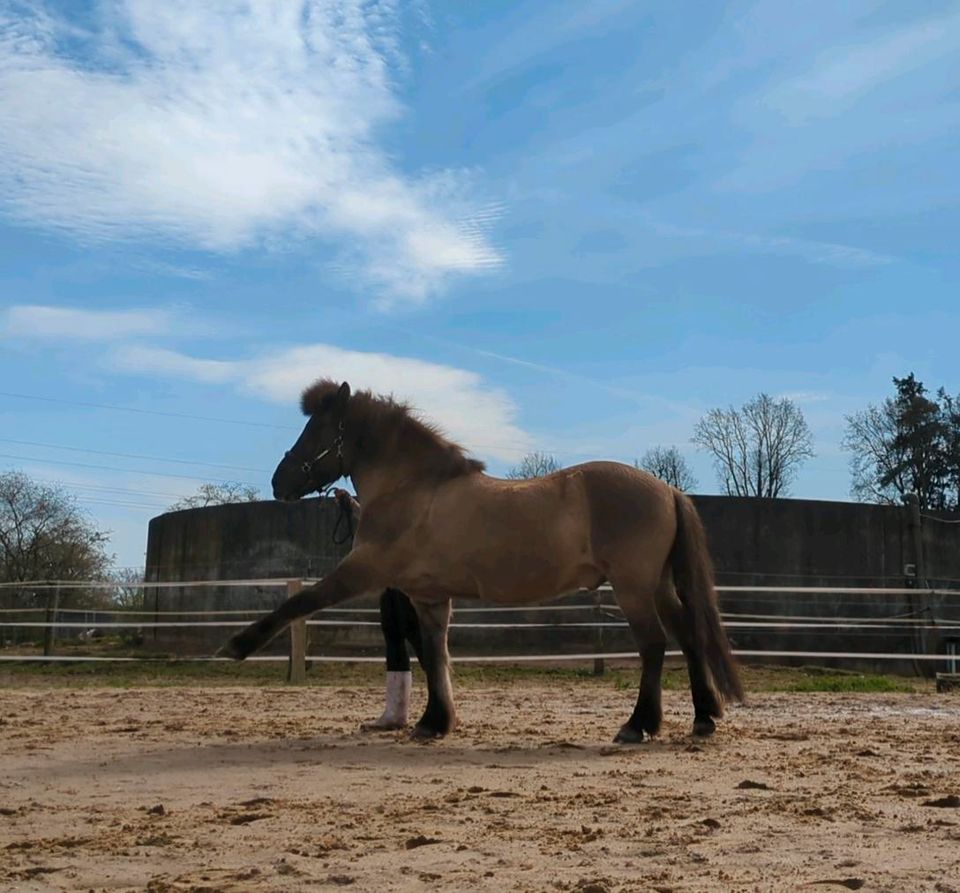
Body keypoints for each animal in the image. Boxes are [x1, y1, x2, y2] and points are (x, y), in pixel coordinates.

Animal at [223, 380, 744, 744]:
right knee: (689, 637)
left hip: (633, 587)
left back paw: (637, 726)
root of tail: (667, 489)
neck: (413, 488)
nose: (280, 481)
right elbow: (434, 653)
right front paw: (434, 722)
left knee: (654, 644)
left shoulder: (364, 570)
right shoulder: (429, 597)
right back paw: (703, 719)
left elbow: (300, 602)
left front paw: (238, 645)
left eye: (318, 431)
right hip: (657, 585)